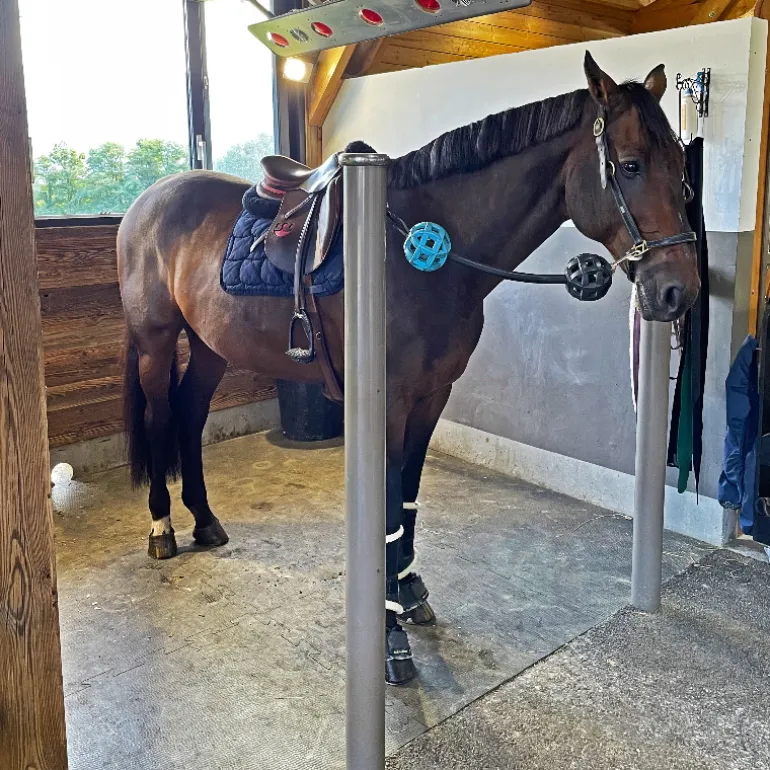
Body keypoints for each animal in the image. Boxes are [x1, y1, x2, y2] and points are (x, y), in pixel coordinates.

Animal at [118, 53, 700, 685]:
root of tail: (149, 200)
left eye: (682, 166)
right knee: (160, 418)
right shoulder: (389, 402)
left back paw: (204, 519)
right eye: (631, 165)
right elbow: (387, 502)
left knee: (191, 414)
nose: (678, 291)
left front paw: (407, 591)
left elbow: (409, 499)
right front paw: (390, 636)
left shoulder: (431, 396)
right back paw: (161, 528)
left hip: (210, 347)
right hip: (155, 342)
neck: (423, 255)